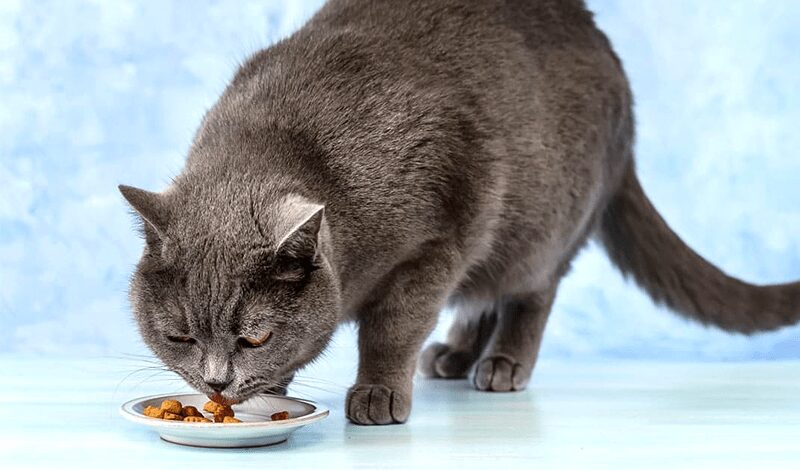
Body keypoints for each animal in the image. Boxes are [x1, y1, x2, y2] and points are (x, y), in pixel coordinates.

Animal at [120, 0, 800, 425]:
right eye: (179, 335)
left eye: (254, 334)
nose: (216, 384)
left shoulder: (439, 240)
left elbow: (393, 327)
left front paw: (376, 393)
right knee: (480, 296)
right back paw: (455, 355)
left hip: (537, 223)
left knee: (531, 292)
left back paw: (502, 364)